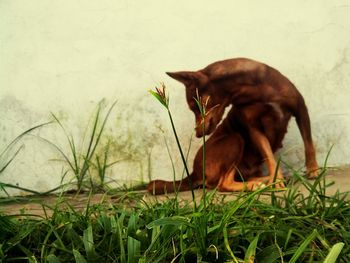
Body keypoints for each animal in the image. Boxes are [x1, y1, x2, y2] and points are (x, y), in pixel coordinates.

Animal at [165, 57, 318, 188]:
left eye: (196, 107)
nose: (197, 134)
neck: (255, 90)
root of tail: (194, 173)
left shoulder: (301, 110)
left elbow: (308, 143)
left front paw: (313, 169)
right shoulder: (254, 127)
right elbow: (269, 156)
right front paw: (277, 180)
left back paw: (264, 180)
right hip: (234, 139)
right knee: (224, 184)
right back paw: (255, 185)